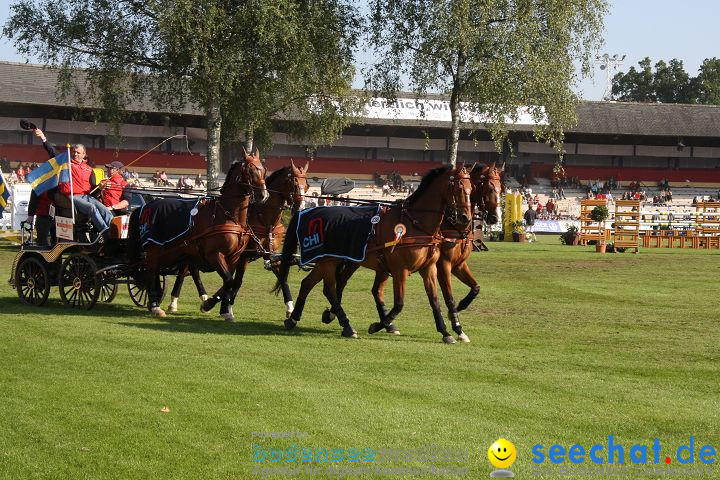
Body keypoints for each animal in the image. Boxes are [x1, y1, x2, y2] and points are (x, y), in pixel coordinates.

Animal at [126, 148, 268, 316]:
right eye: (250, 170)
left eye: (263, 170)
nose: (263, 195)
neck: (229, 216)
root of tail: (144, 207)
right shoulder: (214, 255)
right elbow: (229, 281)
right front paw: (209, 304)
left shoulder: (234, 257)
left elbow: (230, 283)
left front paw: (223, 309)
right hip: (155, 249)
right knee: (151, 271)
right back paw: (155, 305)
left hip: (173, 252)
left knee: (158, 272)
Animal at [168, 160, 310, 318]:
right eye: (294, 183)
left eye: (307, 185)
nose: (301, 207)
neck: (264, 219)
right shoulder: (243, 256)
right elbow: (236, 281)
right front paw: (221, 305)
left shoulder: (269, 254)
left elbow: (281, 277)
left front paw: (290, 307)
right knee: (184, 270)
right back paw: (175, 302)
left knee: (192, 269)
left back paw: (201, 297)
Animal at [274, 165, 472, 342]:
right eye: (458, 188)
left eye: (471, 189)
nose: (465, 217)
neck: (415, 224)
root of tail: (308, 211)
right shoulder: (400, 270)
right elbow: (399, 304)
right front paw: (378, 325)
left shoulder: (428, 268)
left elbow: (435, 300)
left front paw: (446, 332)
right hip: (329, 260)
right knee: (329, 289)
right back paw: (347, 325)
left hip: (331, 261)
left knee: (309, 284)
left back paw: (294, 319)